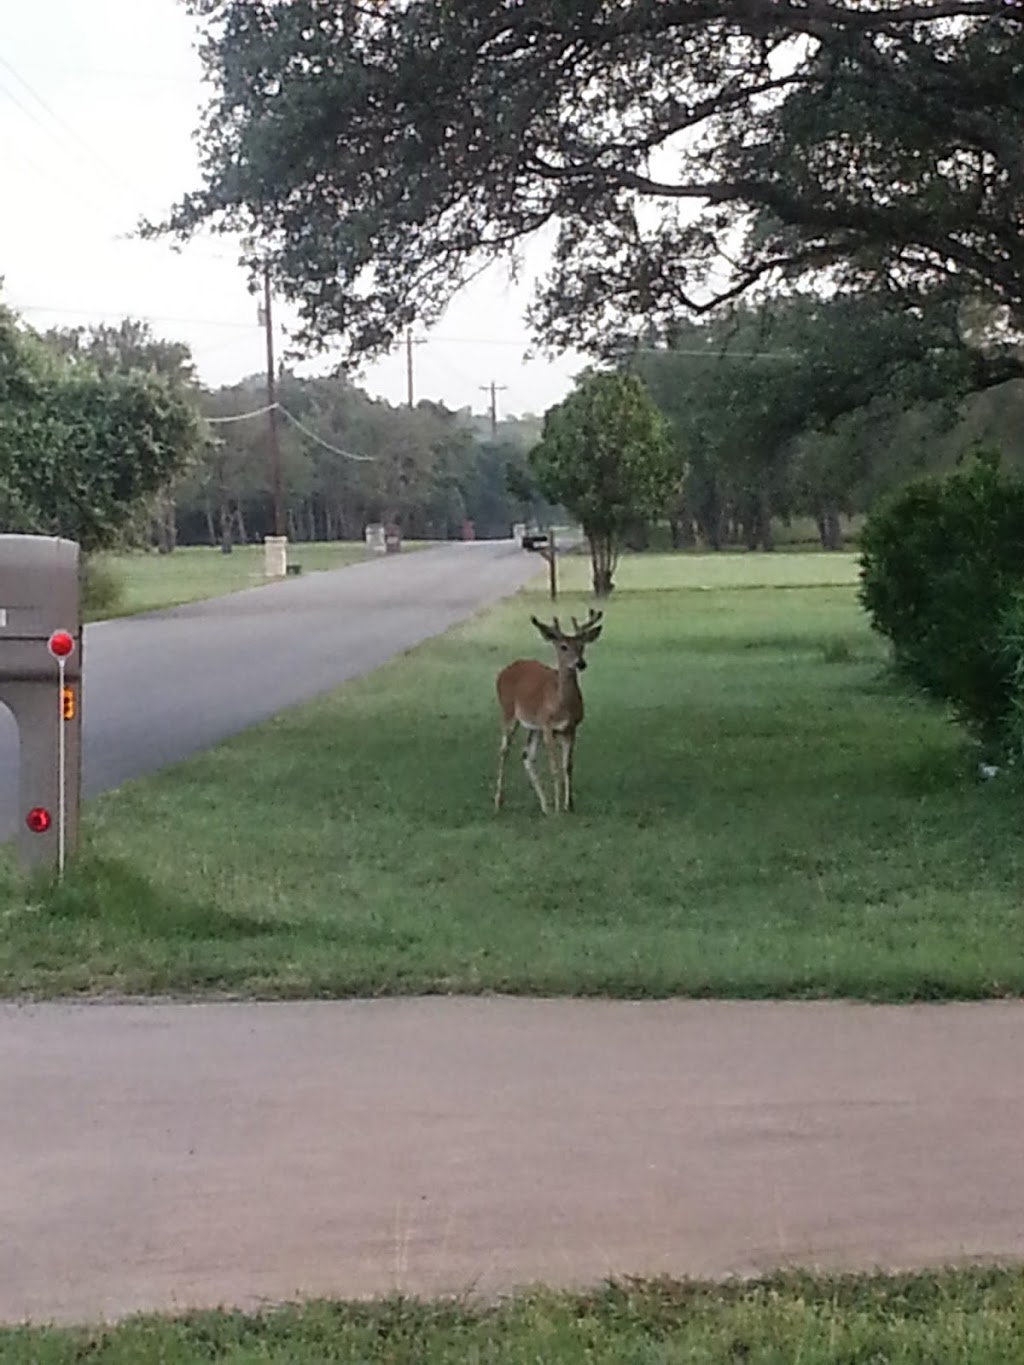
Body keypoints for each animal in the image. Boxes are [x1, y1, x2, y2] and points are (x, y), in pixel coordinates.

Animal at [494, 614, 606, 813]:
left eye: (581, 645)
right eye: (563, 646)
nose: (580, 663)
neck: (563, 704)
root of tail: (503, 672)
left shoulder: (570, 728)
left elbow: (567, 766)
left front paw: (569, 805)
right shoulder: (548, 726)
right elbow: (554, 767)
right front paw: (559, 807)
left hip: (534, 726)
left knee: (527, 755)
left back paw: (545, 806)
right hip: (508, 712)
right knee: (504, 750)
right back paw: (498, 803)